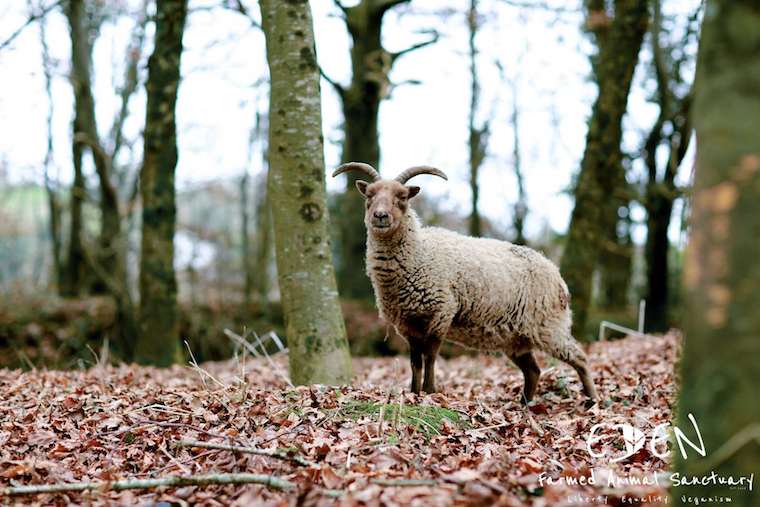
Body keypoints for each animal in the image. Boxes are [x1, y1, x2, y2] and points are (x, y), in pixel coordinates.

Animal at [332, 162, 598, 404]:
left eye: (403, 197)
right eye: (369, 195)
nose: (380, 216)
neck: (419, 252)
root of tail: (557, 275)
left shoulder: (441, 313)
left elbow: (430, 357)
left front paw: (430, 392)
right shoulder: (407, 325)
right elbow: (415, 361)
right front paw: (413, 393)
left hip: (549, 325)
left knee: (580, 358)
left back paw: (593, 400)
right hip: (516, 337)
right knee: (533, 370)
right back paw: (525, 404)